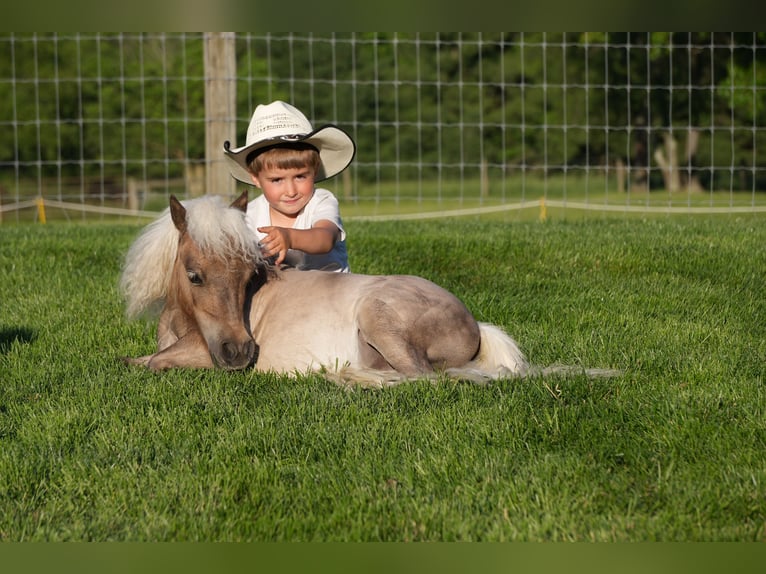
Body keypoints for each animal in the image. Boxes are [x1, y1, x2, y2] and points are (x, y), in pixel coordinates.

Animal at [119, 192, 617, 387]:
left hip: (377, 315)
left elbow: (153, 363)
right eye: (195, 275)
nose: (241, 353)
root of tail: (475, 324)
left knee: (422, 378)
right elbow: (137, 360)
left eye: (247, 278)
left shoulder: (206, 358)